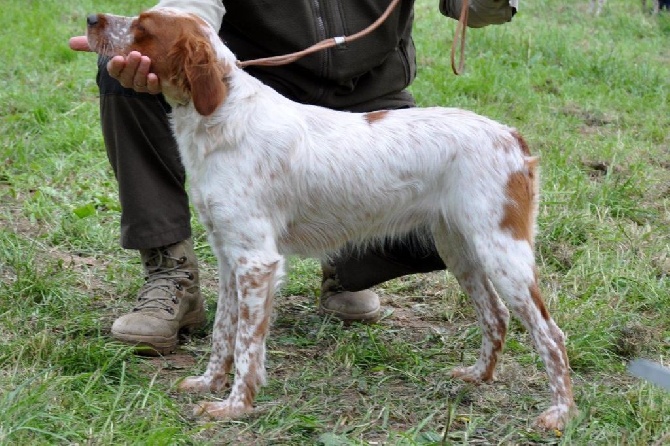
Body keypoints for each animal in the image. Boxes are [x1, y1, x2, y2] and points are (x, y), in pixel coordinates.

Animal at [84, 6, 576, 430]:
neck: (221, 115)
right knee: (496, 316)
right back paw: (478, 376)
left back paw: (560, 413)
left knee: (551, 334)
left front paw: (236, 406)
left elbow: (247, 346)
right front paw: (208, 384)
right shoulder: (228, 258)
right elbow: (224, 333)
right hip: (460, 250)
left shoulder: (257, 261)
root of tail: (511, 136)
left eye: (143, 29)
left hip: (501, 252)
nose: (90, 17)